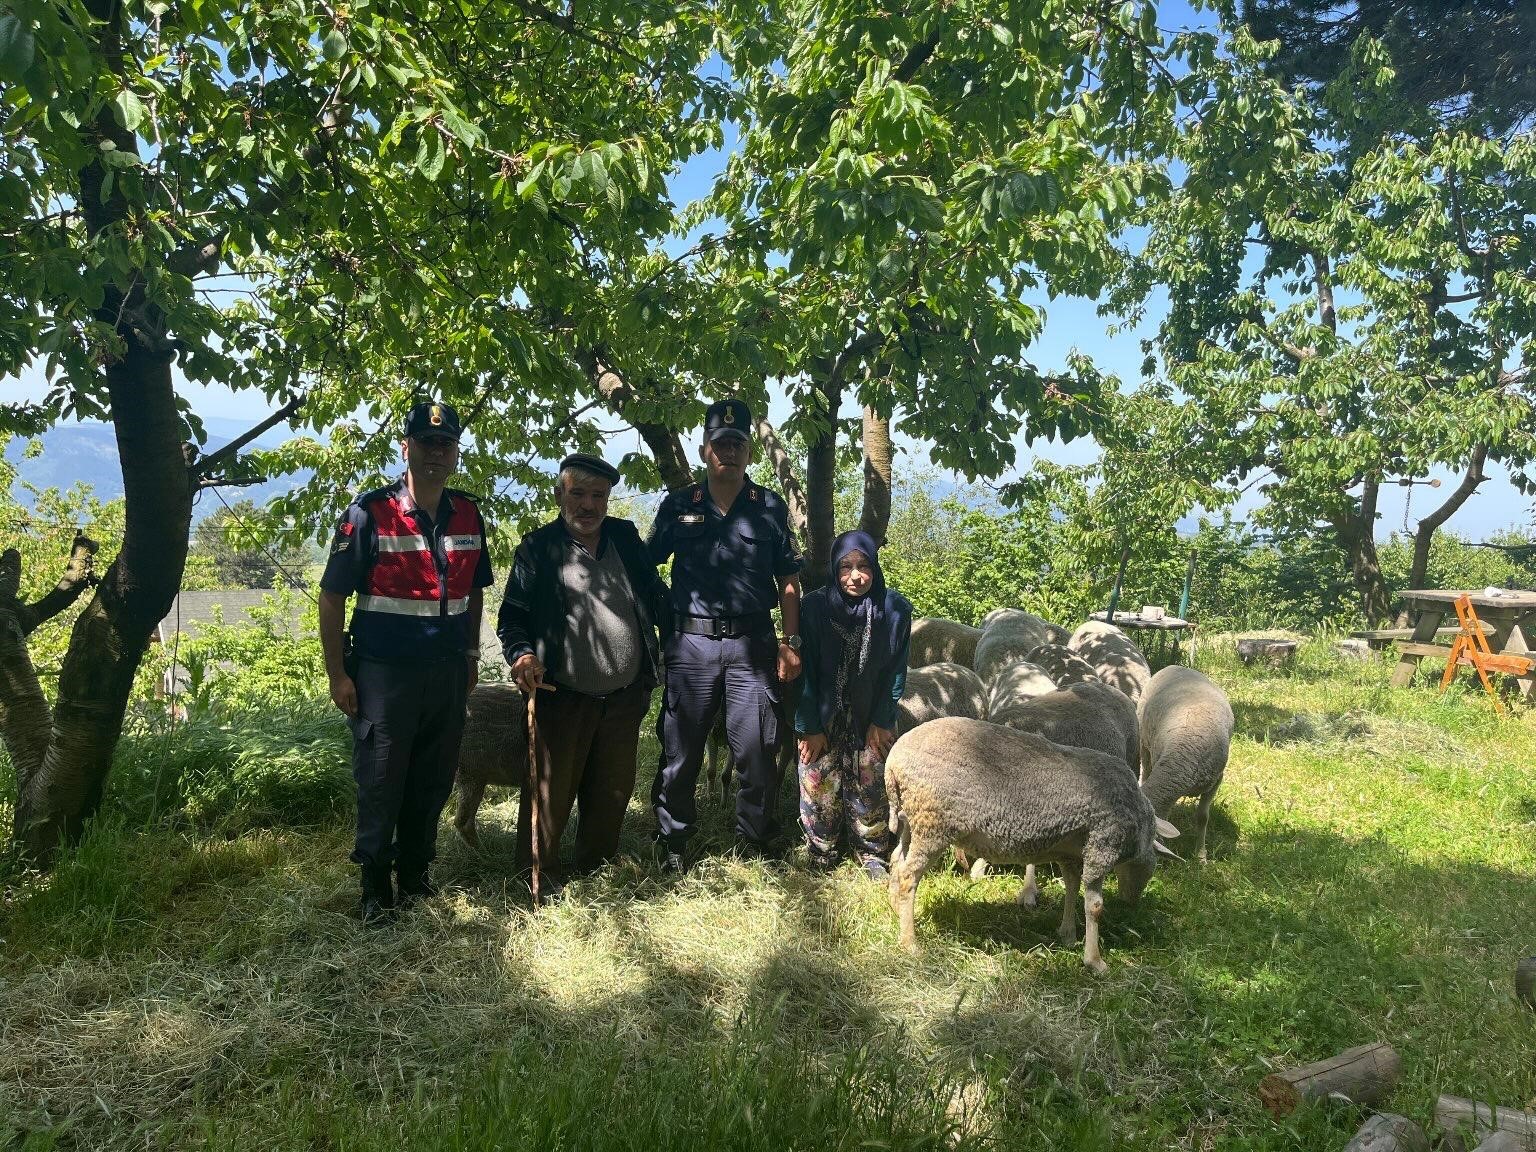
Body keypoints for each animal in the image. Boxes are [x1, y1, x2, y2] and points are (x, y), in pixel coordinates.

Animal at [890, 721, 1173, 976]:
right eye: (1150, 871)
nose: (1131, 904)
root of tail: (893, 759)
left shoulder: (1069, 853)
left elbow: (1071, 888)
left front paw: (1068, 934)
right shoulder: (1102, 844)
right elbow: (1094, 906)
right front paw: (1094, 961)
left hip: (911, 819)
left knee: (896, 860)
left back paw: (898, 912)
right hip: (933, 823)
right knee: (908, 876)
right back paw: (910, 943)